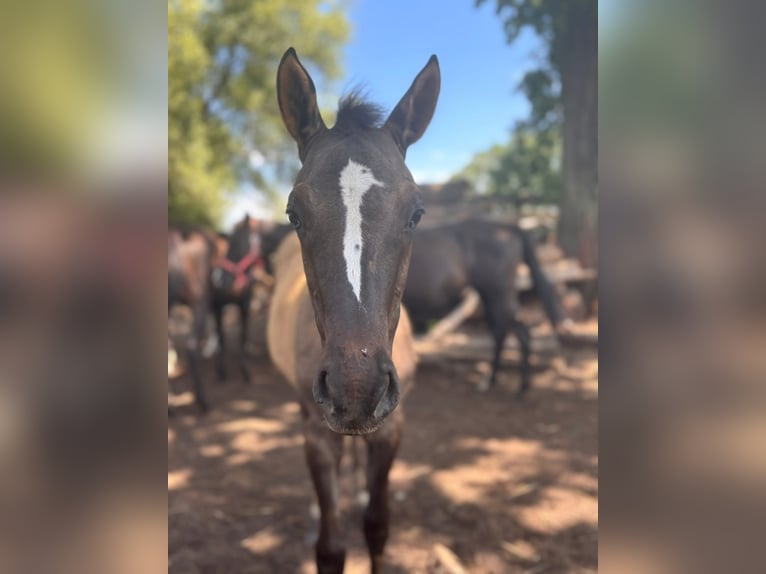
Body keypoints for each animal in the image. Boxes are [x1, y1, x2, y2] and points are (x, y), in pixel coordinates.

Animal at [267, 47, 439, 574]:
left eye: (416, 213)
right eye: (294, 213)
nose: (356, 388)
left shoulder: (390, 429)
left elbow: (377, 525)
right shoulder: (318, 433)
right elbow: (331, 546)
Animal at [403, 219, 565, 396]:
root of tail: (510, 228)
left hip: (499, 295)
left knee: (518, 333)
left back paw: (520, 386)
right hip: (491, 298)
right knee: (502, 333)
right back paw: (492, 379)